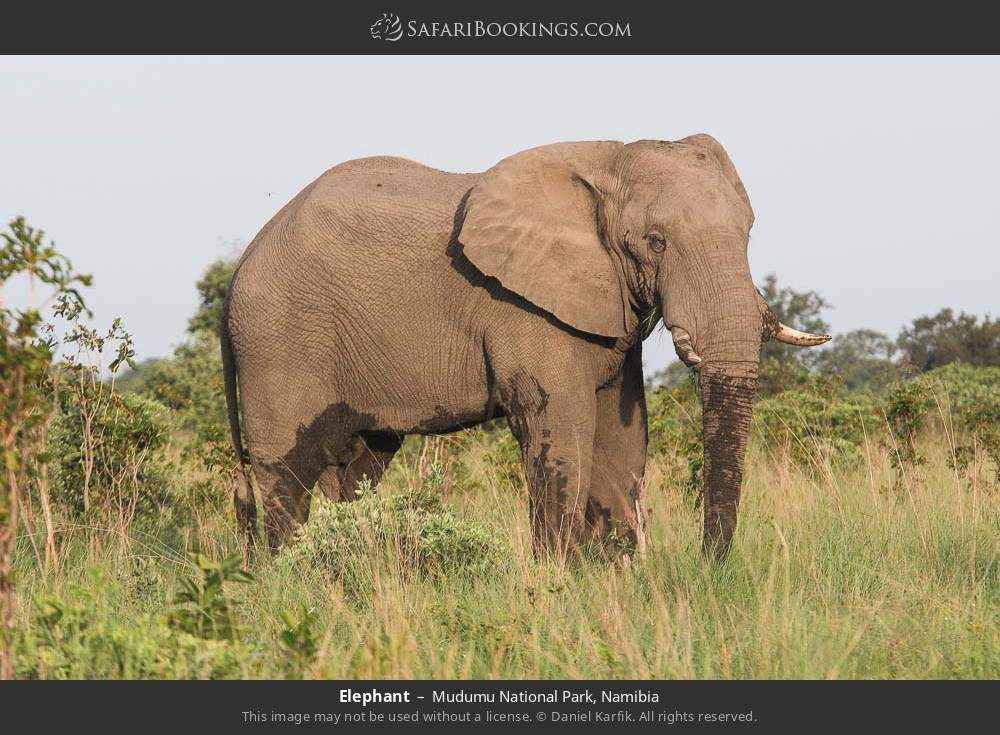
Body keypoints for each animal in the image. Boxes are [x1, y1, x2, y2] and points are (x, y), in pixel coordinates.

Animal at [223, 135, 832, 556]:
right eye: (656, 242)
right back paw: (292, 575)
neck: (608, 163)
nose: (709, 567)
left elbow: (624, 439)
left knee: (358, 468)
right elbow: (562, 427)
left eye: (748, 234)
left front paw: (611, 576)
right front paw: (560, 581)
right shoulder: (524, 309)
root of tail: (239, 267)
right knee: (286, 477)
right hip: (278, 338)